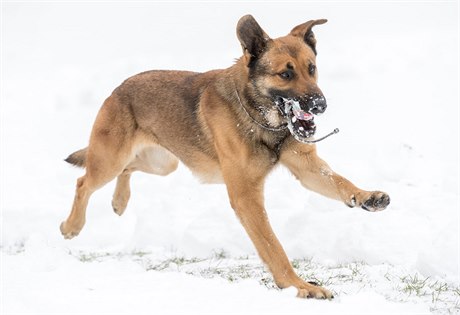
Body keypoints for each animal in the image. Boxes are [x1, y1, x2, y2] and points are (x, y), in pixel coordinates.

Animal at [61, 14, 390, 300]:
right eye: (285, 74)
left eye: (311, 68)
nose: (320, 104)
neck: (259, 116)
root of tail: (119, 88)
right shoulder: (246, 196)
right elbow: (273, 246)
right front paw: (298, 286)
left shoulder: (307, 168)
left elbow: (340, 182)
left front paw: (366, 196)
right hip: (111, 159)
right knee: (84, 181)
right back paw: (72, 226)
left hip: (162, 163)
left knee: (128, 169)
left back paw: (120, 201)